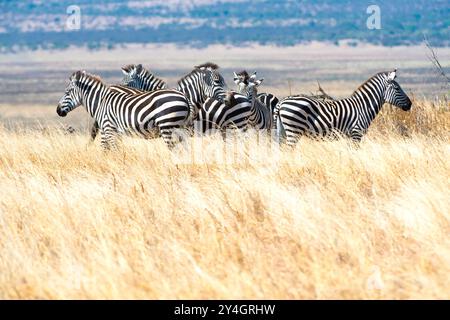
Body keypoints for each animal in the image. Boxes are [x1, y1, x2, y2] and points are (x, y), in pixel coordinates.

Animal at [56, 70, 190, 148]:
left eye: (67, 92)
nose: (57, 110)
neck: (101, 102)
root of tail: (184, 97)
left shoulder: (109, 129)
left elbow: (113, 150)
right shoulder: (111, 132)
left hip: (167, 126)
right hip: (180, 129)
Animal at [274, 70, 412, 146]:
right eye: (397, 88)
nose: (410, 104)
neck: (364, 106)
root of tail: (282, 102)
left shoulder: (350, 136)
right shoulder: (356, 133)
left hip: (283, 131)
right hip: (294, 130)